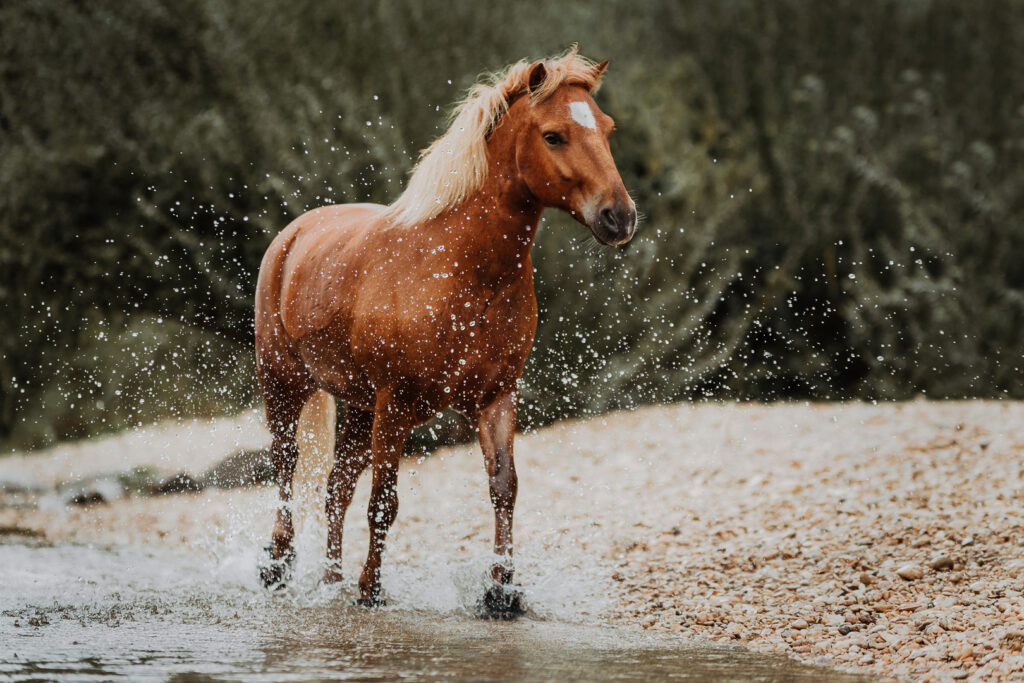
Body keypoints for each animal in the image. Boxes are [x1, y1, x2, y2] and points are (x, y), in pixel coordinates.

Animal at [253, 45, 630, 618]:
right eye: (553, 135)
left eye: (606, 129)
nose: (619, 218)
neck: (461, 267)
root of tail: (291, 236)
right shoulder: (396, 402)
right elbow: (384, 501)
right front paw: (372, 590)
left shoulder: (496, 397)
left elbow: (504, 487)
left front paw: (502, 592)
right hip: (284, 384)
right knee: (286, 464)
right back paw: (279, 566)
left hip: (357, 407)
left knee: (336, 489)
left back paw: (330, 582)